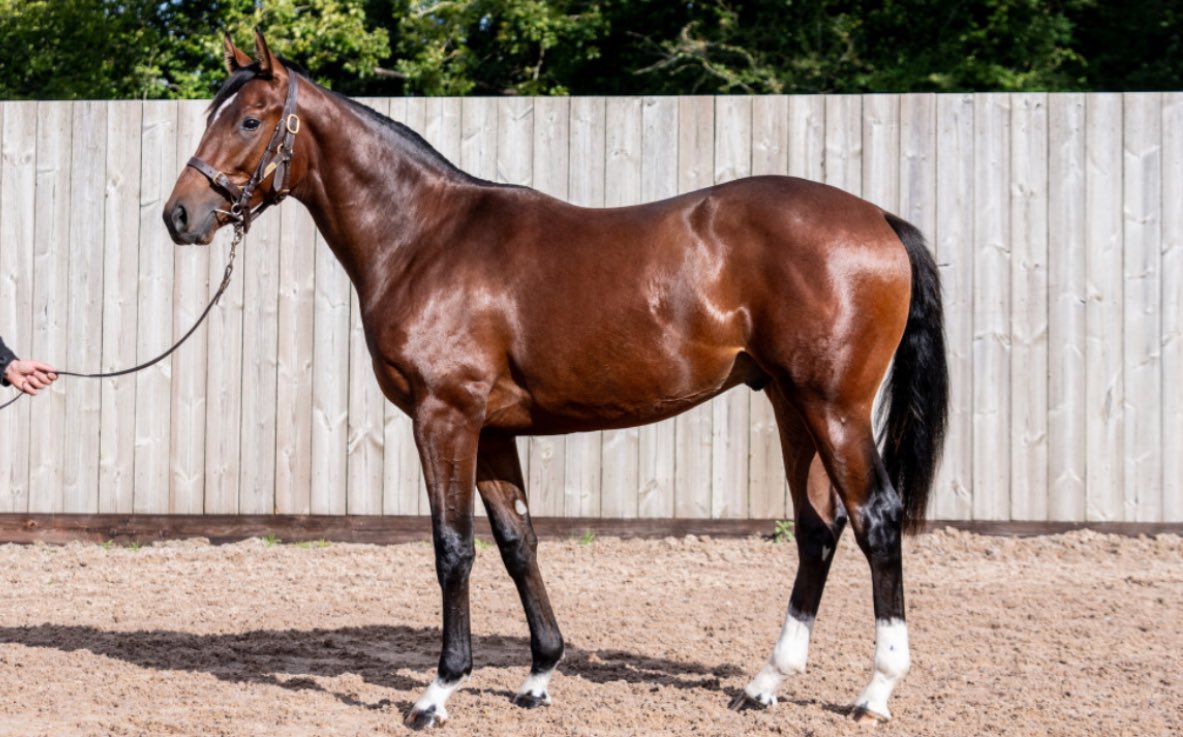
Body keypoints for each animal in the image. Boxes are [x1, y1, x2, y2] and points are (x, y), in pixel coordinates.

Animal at [164, 31, 948, 730]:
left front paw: (438, 691)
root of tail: (879, 219)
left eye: (248, 119)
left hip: (833, 407)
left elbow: (453, 547)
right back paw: (765, 684)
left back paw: (875, 690)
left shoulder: (444, 417)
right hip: (792, 404)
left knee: (876, 519)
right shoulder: (491, 430)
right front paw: (538, 675)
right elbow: (518, 543)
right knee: (817, 528)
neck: (423, 238)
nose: (180, 215)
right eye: (210, 114)